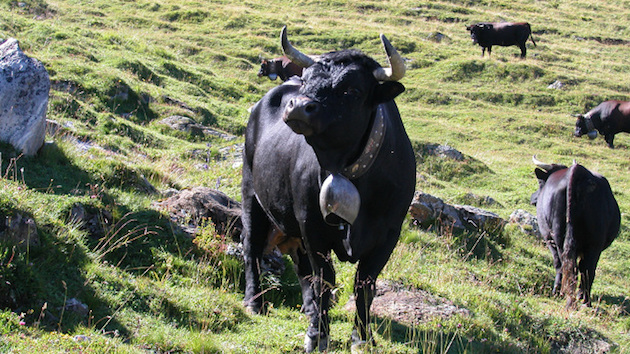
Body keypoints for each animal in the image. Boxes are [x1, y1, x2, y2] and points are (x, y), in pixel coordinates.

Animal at [241, 26, 414, 352]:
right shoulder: (312, 226)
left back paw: (309, 308)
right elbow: (325, 278)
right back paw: (254, 302)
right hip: (251, 195)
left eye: (352, 91)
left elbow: (364, 285)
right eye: (308, 78)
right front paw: (317, 335)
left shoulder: (388, 234)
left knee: (300, 266)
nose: (298, 106)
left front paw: (362, 337)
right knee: (252, 249)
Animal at [532, 156, 624, 308]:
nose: (533, 198)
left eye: (540, 183)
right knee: (585, 268)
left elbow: (557, 263)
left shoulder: (548, 238)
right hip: (593, 244)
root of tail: (577, 171)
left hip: (563, 238)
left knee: (569, 265)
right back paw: (584, 300)